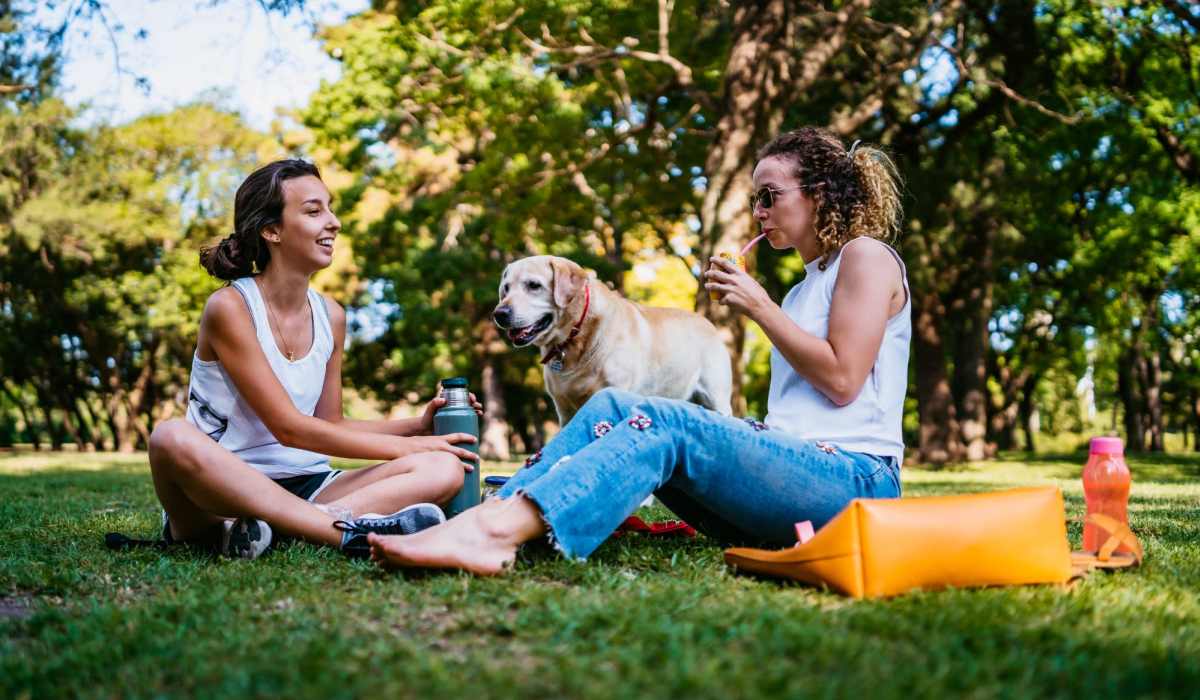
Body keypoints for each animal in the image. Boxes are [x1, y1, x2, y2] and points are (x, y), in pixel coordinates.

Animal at [487, 255, 729, 425]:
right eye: (506, 288)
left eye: (533, 285)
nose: (499, 313)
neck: (575, 337)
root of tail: (707, 322)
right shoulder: (563, 410)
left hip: (717, 399)